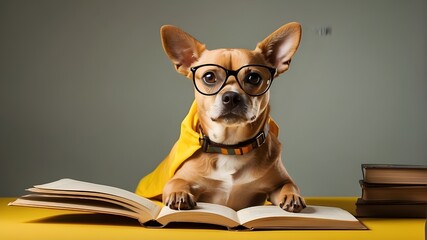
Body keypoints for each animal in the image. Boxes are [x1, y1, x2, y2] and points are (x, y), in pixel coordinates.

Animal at [159, 22, 306, 213]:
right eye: (209, 77)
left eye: (253, 77)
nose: (231, 96)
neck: (230, 147)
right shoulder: (179, 178)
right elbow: (176, 182)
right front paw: (179, 194)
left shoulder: (279, 181)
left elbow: (289, 185)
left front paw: (292, 196)